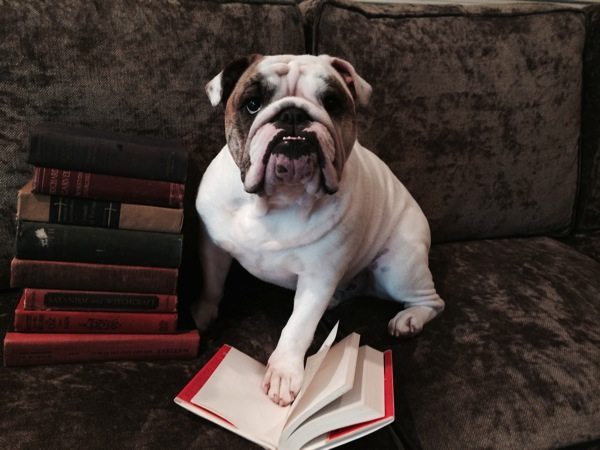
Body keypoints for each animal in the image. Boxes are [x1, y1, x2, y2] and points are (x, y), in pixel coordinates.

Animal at [192, 53, 446, 408]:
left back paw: (409, 320)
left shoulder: (318, 277)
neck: (277, 200)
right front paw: (202, 313)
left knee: (432, 301)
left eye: (332, 103)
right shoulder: (212, 245)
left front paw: (283, 373)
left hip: (398, 268)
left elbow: (297, 328)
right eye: (252, 104)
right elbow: (212, 284)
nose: (292, 114)